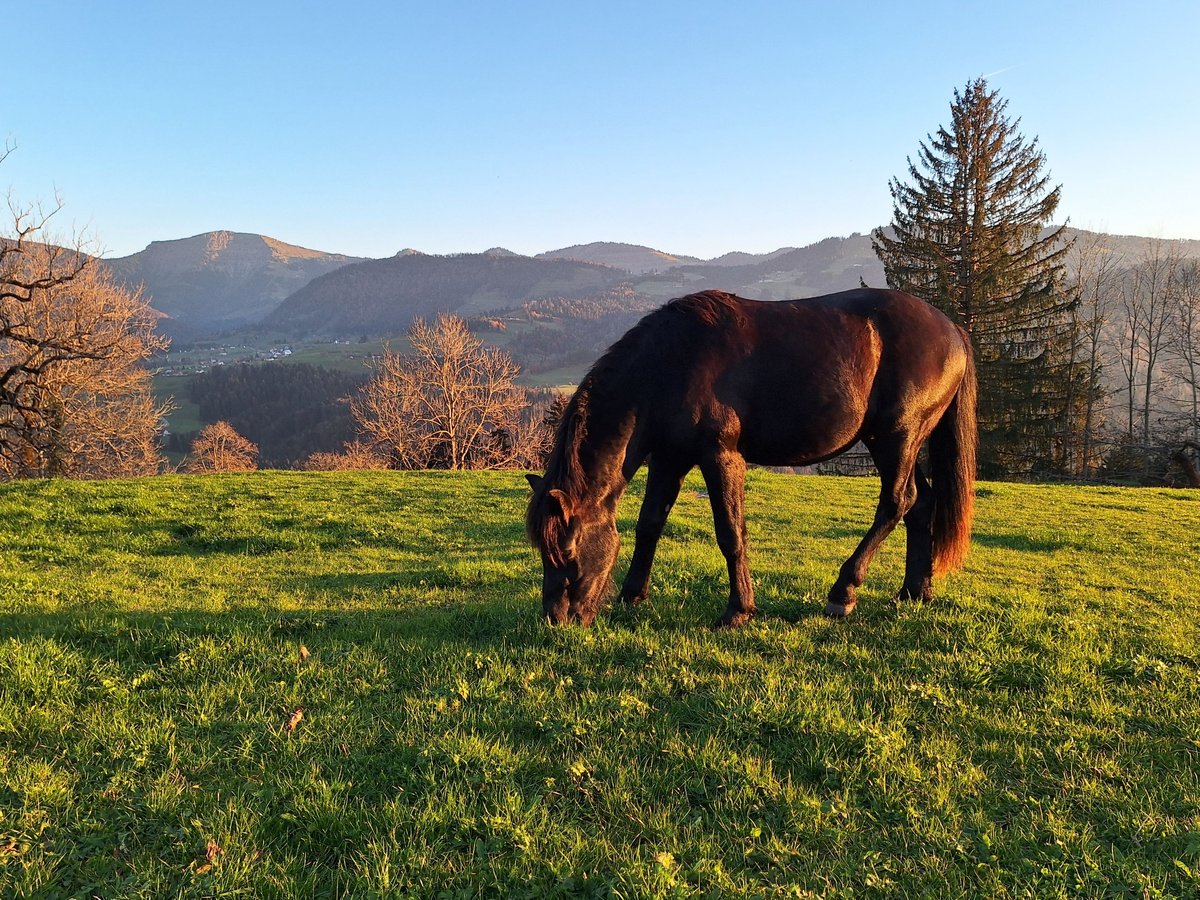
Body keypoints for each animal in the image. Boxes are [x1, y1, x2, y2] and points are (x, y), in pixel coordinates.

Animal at [525, 289, 974, 628]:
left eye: (567, 554)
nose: (557, 619)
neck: (670, 363)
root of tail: (952, 329)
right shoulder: (670, 457)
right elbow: (649, 524)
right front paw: (632, 595)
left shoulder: (721, 457)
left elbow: (731, 534)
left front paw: (738, 611)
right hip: (898, 442)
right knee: (921, 504)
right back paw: (916, 592)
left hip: (897, 437)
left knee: (897, 503)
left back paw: (843, 593)